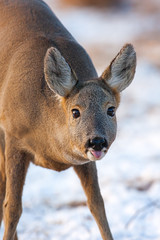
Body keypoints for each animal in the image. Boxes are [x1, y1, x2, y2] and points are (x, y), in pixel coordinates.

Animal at [0, 0, 136, 239]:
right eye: (75, 111)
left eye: (111, 110)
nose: (97, 141)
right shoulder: (13, 136)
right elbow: (13, 207)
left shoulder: (85, 159)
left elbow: (97, 204)